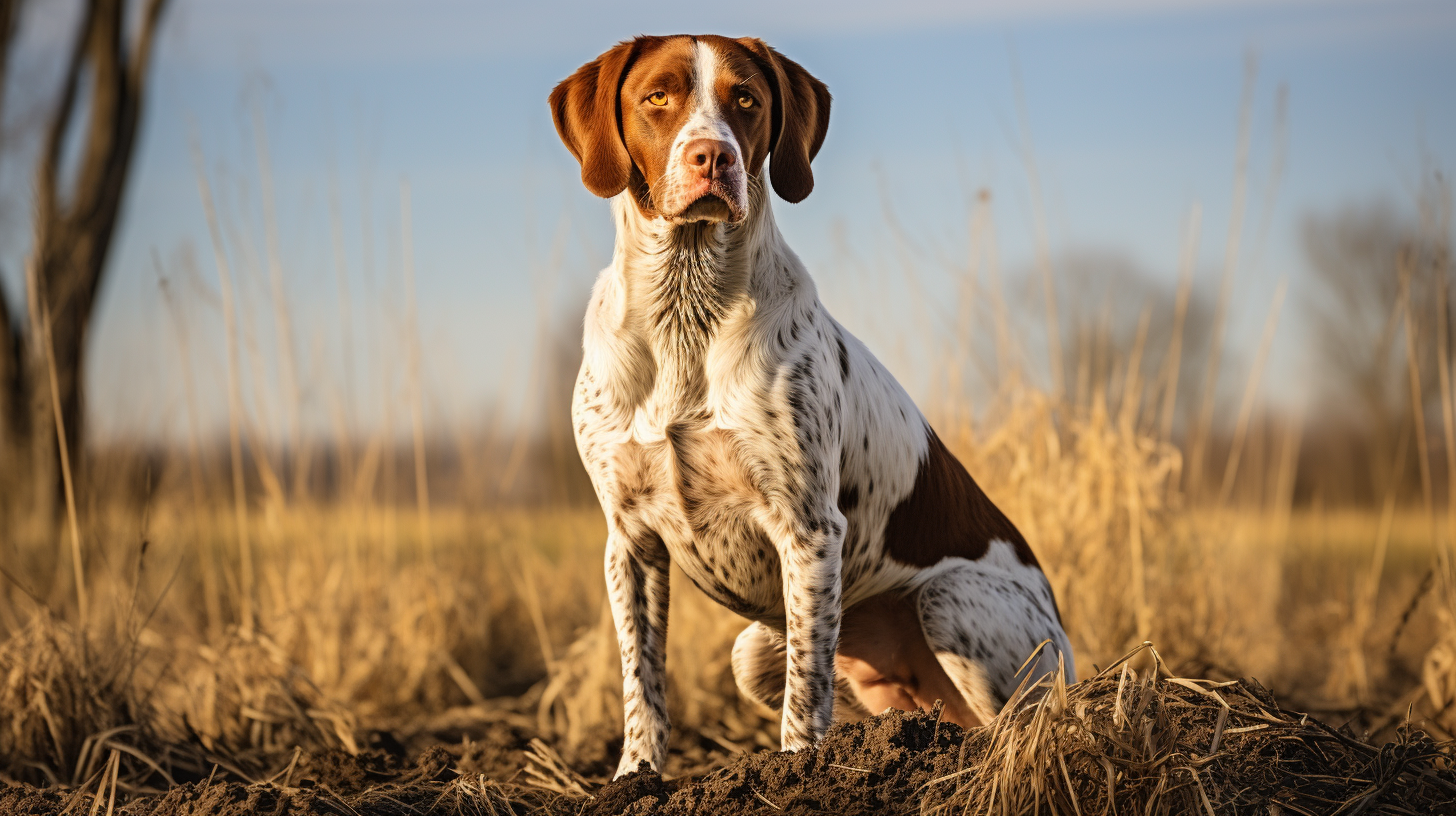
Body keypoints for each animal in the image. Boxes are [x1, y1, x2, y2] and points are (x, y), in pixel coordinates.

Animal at [550, 33, 1077, 775]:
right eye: (657, 96)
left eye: (747, 100)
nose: (713, 157)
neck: (685, 306)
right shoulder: (630, 541)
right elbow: (641, 682)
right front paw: (636, 777)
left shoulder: (807, 528)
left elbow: (808, 690)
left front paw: (800, 771)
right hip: (754, 653)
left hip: (952, 601)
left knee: (1017, 725)